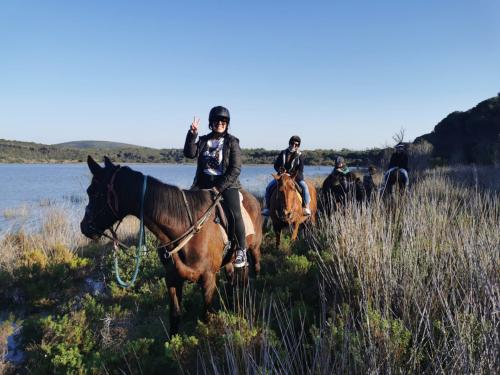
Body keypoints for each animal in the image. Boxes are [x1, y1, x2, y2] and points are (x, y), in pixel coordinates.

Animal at [80, 156, 264, 334]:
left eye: (94, 193)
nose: (84, 227)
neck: (184, 228)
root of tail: (253, 199)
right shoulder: (172, 279)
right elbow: (175, 316)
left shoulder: (208, 279)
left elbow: (206, 317)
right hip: (228, 261)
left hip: (253, 249)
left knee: (254, 268)